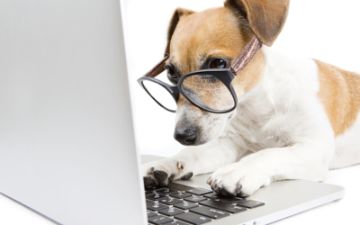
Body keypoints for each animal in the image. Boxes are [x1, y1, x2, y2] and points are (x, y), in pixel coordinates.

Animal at [142, 0, 360, 196]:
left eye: (218, 63)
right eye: (171, 72)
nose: (182, 135)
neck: (259, 105)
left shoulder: (314, 148)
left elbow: (269, 153)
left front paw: (238, 170)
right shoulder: (228, 144)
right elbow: (192, 153)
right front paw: (166, 163)